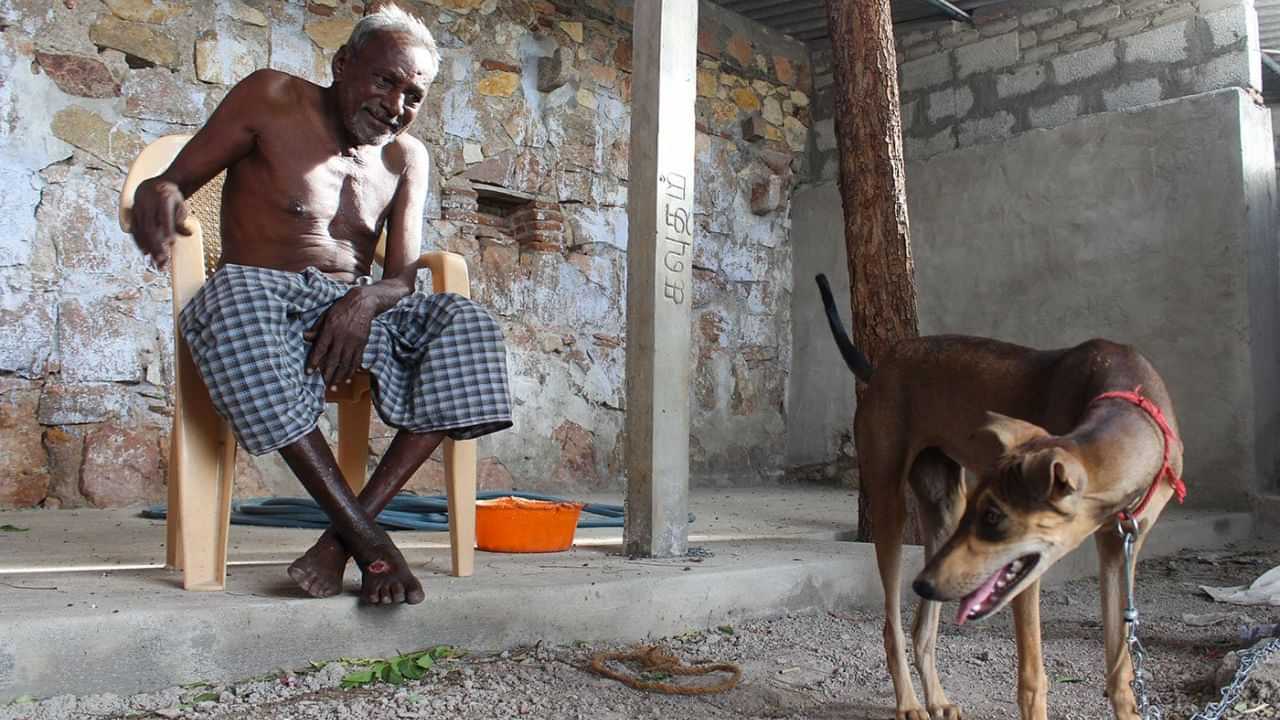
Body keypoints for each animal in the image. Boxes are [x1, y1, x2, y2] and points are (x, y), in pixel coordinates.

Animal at [814, 274, 1182, 717]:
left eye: (992, 517)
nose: (924, 583)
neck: (1130, 403)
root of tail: (882, 365)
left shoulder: (1118, 547)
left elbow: (1120, 671)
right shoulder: (1027, 571)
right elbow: (1033, 678)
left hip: (943, 514)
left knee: (923, 630)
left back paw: (936, 697)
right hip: (890, 506)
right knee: (893, 628)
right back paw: (909, 702)